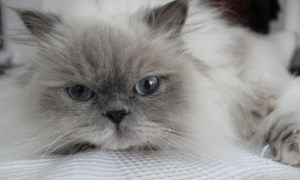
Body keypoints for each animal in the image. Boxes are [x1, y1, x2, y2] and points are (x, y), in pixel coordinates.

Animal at [0, 0, 300, 166]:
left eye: (148, 86)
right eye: (79, 92)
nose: (116, 114)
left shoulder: (259, 90)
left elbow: (281, 116)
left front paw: (294, 150)